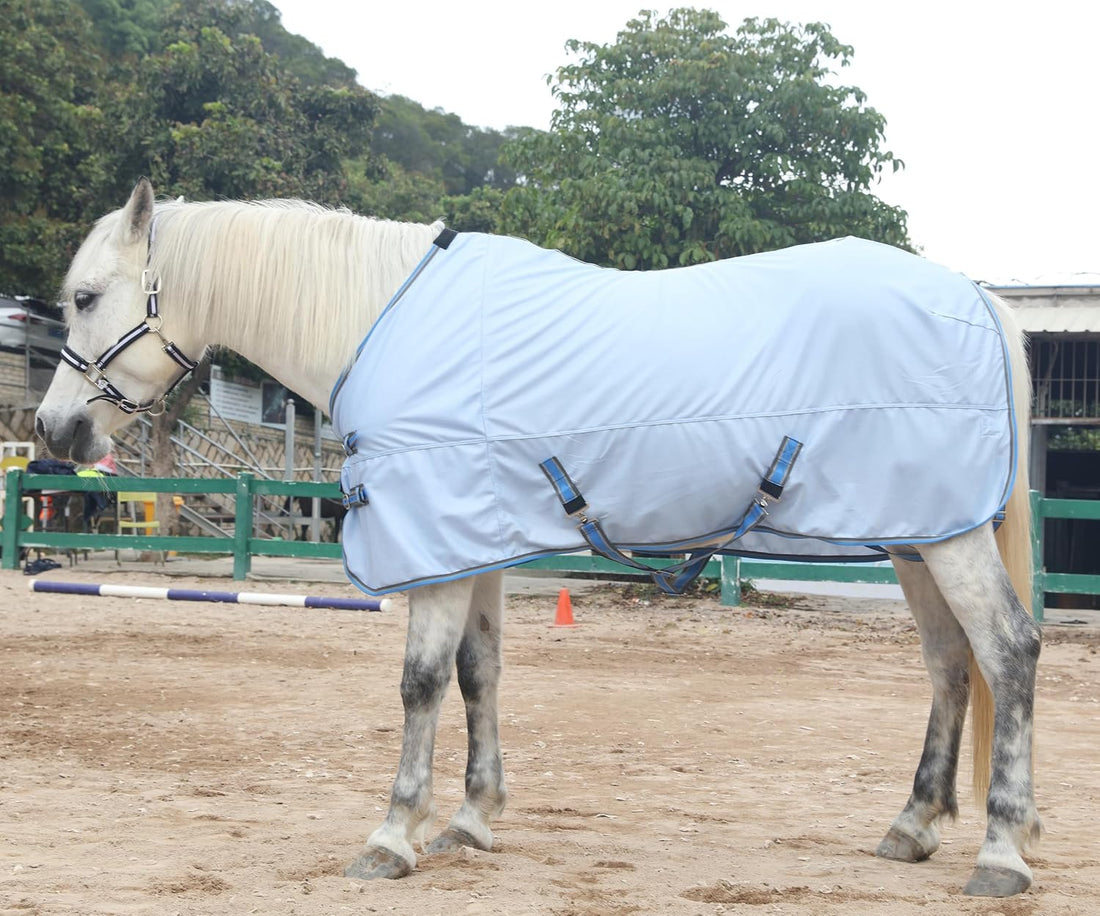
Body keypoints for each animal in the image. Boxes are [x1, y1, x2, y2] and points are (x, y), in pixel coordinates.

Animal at [35, 180, 1041, 898]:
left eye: (86, 296)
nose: (52, 431)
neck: (376, 320)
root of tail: (974, 295)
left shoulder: (434, 543)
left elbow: (420, 684)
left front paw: (392, 835)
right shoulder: (468, 539)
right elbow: (479, 675)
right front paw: (471, 820)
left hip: (945, 541)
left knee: (1008, 650)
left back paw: (1001, 851)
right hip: (919, 534)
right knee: (951, 666)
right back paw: (913, 827)